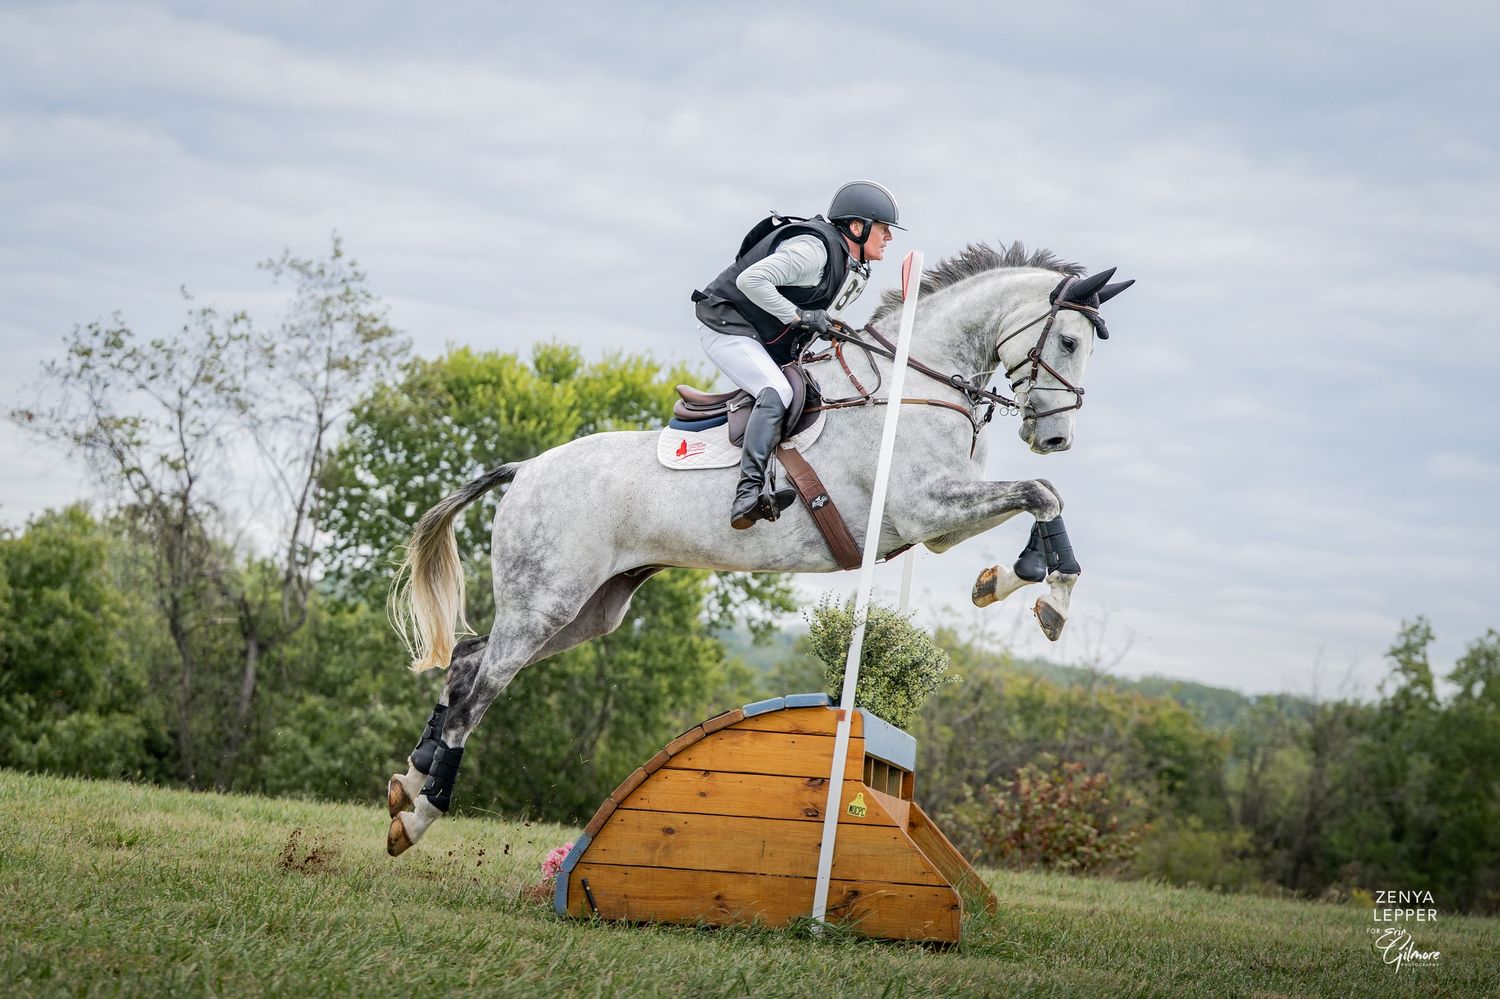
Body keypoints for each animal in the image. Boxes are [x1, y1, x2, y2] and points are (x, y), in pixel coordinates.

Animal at [383, 242, 1133, 855]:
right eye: (1070, 341)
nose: (1055, 438)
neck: (913, 388)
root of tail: (526, 468)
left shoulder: (938, 525)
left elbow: (1040, 496)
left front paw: (1012, 583)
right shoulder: (925, 505)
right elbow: (1040, 492)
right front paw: (1051, 599)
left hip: (590, 609)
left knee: (467, 663)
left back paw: (409, 787)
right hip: (548, 599)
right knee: (480, 692)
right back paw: (423, 812)